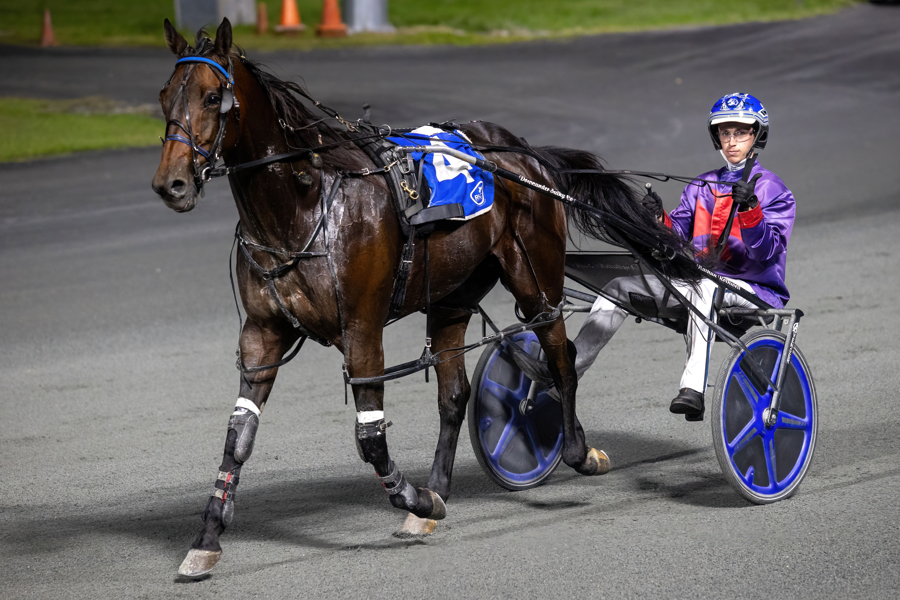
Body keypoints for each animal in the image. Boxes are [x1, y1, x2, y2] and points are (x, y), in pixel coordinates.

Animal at [151, 18, 696, 577]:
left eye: (212, 96)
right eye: (165, 96)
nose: (171, 184)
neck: (302, 208)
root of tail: (524, 152)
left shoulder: (362, 329)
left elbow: (370, 440)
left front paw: (414, 498)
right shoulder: (262, 334)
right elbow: (238, 435)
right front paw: (207, 539)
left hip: (535, 276)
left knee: (560, 357)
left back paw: (577, 453)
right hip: (454, 295)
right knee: (455, 395)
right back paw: (441, 487)